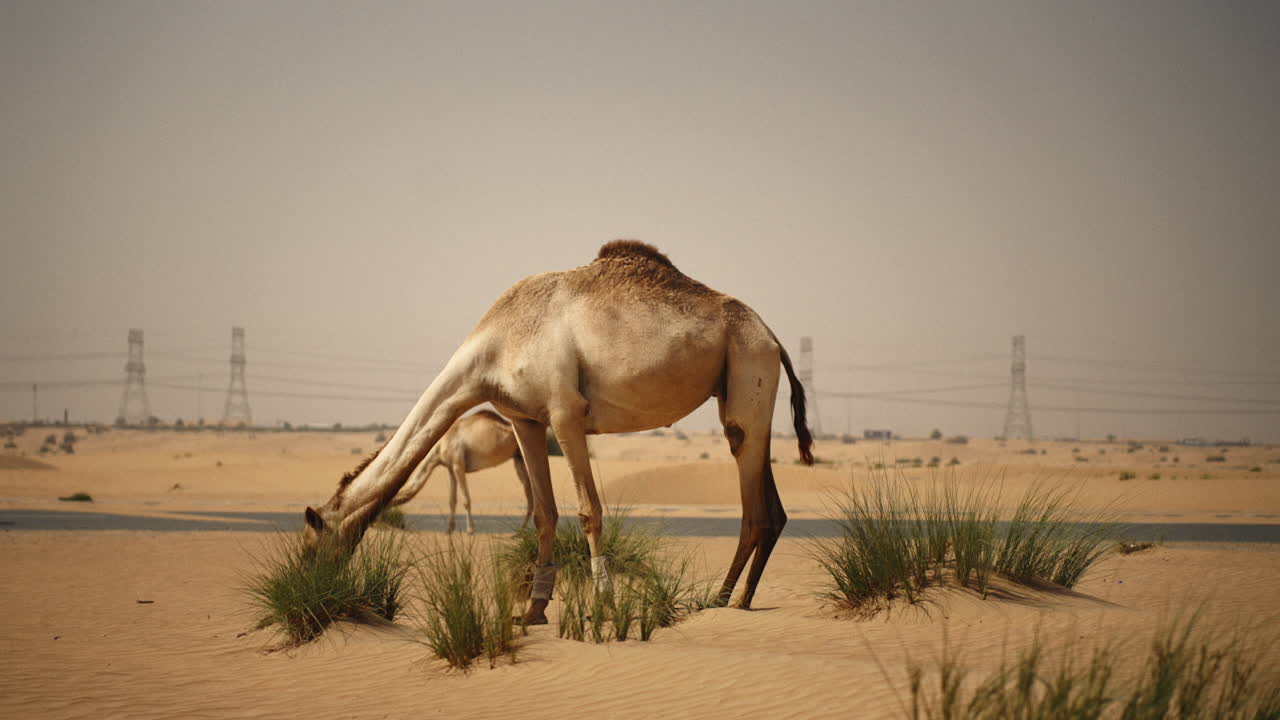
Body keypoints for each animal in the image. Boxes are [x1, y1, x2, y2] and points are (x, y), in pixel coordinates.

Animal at [388, 409, 533, 534]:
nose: (399, 524)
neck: (440, 445)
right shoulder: (450, 468)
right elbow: (452, 500)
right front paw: (449, 529)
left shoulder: (458, 465)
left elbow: (466, 500)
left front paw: (470, 529)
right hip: (518, 459)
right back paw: (520, 531)